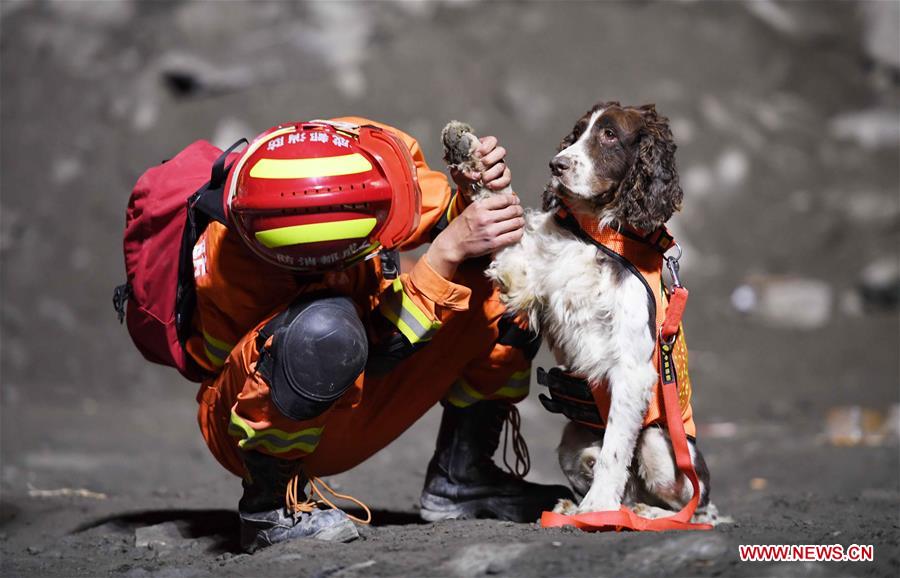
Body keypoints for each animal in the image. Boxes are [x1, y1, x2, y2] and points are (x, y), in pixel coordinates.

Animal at [488, 101, 712, 516]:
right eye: (577, 133)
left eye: (609, 135)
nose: (556, 165)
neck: (598, 234)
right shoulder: (537, 278)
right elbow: (517, 267)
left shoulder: (632, 369)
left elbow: (615, 449)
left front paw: (597, 507)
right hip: (570, 439)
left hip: (661, 444)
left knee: (700, 506)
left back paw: (644, 512)